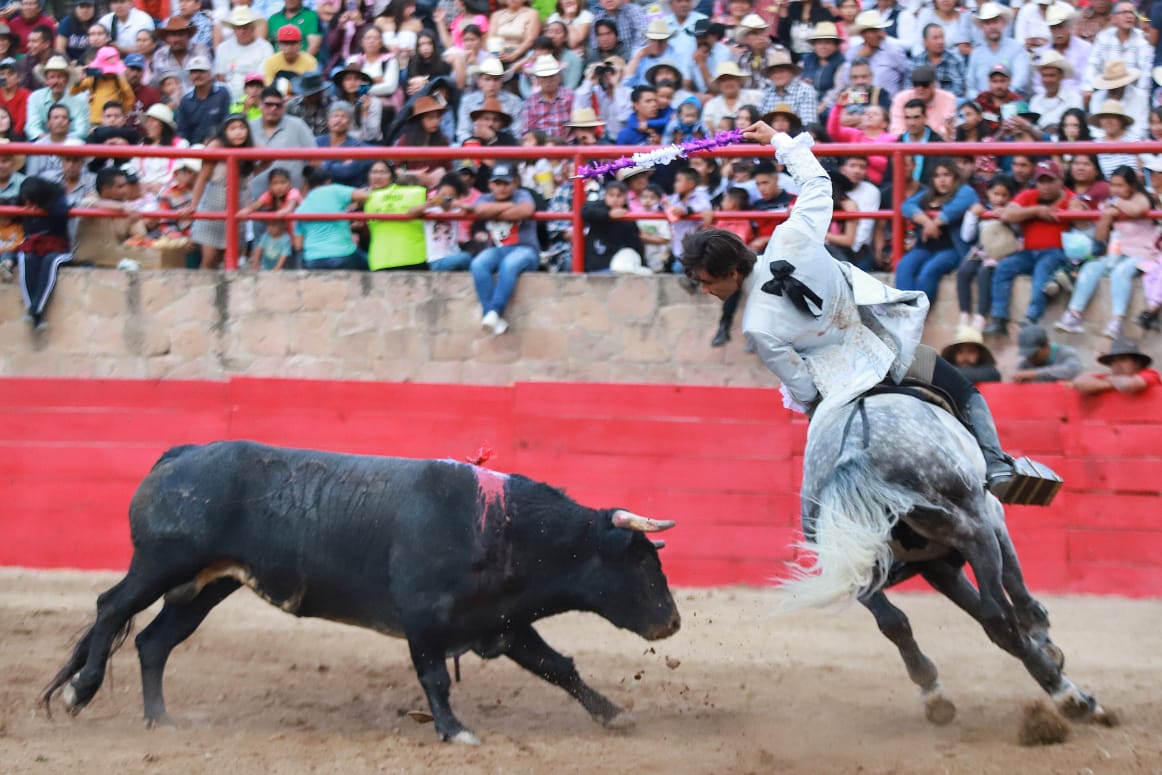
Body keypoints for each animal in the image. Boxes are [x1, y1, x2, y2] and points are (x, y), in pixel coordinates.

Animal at [42, 439, 678, 743]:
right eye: (641, 564)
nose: (672, 621)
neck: (498, 526)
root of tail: (184, 455)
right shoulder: (424, 620)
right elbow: (434, 678)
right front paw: (456, 732)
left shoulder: (500, 622)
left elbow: (558, 666)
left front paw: (614, 716)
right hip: (161, 565)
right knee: (111, 608)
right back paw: (79, 693)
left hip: (207, 586)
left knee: (153, 642)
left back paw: (161, 719)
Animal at [776, 395, 1110, 729]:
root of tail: (855, 452)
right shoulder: (992, 519)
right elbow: (1017, 592)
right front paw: (1045, 642)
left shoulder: (935, 565)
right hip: (973, 529)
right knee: (997, 616)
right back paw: (1072, 699)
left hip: (855, 561)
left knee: (895, 621)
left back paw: (934, 694)